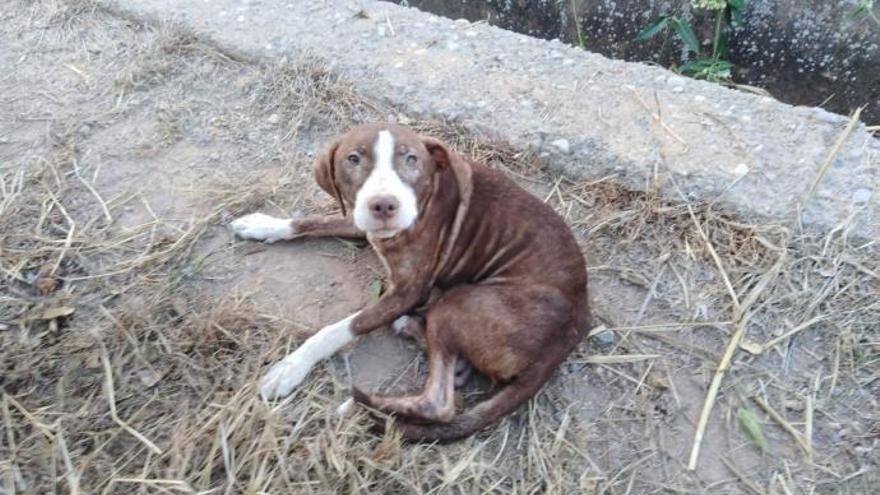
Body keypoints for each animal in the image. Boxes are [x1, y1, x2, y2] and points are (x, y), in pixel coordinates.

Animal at [232, 124, 592, 442]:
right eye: (353, 158)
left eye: (411, 159)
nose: (384, 205)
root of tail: (575, 325)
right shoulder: (359, 219)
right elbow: (312, 221)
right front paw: (265, 225)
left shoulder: (408, 291)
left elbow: (340, 329)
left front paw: (291, 367)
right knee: (451, 373)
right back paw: (414, 332)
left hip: (459, 302)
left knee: (439, 405)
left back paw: (362, 408)